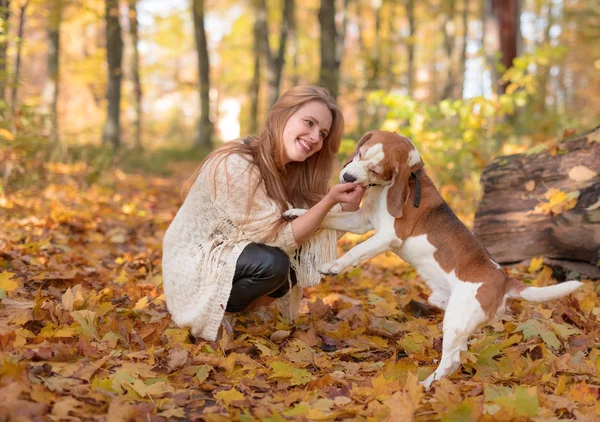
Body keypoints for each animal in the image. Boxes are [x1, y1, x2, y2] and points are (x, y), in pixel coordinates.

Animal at [284, 129, 584, 390]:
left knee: (450, 361)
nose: (346, 176)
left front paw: (334, 266)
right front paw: (297, 213)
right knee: (459, 353)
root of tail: (504, 280)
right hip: (449, 310)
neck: (394, 187)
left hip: (456, 318)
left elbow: (357, 250)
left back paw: (426, 386)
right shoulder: (359, 221)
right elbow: (326, 215)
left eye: (375, 169)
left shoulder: (388, 236)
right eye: (360, 153)